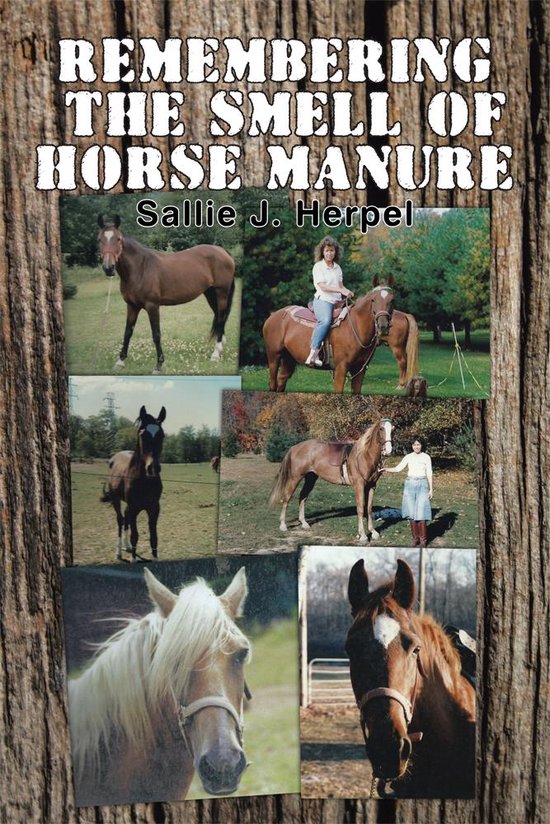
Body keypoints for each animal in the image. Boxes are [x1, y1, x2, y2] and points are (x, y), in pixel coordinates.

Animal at [97, 215, 235, 373]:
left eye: (118, 239)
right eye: (99, 239)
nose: (108, 268)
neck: (140, 268)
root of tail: (223, 251)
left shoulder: (152, 306)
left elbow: (156, 334)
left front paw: (159, 364)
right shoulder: (132, 306)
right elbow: (127, 332)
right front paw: (120, 361)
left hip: (221, 293)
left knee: (221, 318)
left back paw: (215, 354)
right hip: (210, 294)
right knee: (219, 317)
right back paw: (221, 345)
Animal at [100, 406, 166, 562]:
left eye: (162, 435)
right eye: (142, 435)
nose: (153, 468)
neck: (144, 482)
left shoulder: (154, 508)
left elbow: (154, 536)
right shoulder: (134, 508)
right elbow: (135, 534)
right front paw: (133, 559)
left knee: (125, 519)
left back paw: (128, 546)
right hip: (116, 500)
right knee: (120, 520)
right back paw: (119, 552)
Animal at [262, 275, 419, 393]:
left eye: (392, 300)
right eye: (373, 299)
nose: (383, 326)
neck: (355, 326)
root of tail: (273, 316)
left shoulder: (360, 370)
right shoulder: (341, 369)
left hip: (288, 359)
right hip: (274, 357)